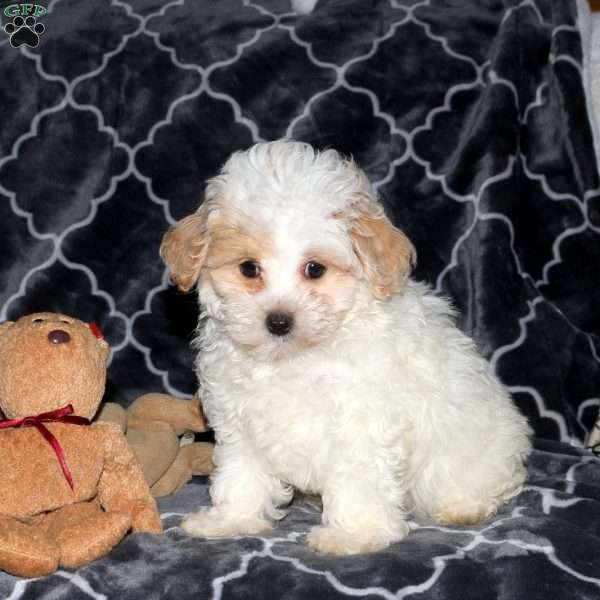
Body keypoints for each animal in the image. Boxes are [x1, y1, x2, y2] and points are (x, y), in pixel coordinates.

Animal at [159, 138, 528, 556]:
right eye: (249, 268)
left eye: (315, 269)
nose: (279, 321)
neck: (294, 359)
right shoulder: (241, 421)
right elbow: (242, 473)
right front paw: (232, 520)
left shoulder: (361, 422)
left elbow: (359, 480)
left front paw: (355, 533)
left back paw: (464, 507)